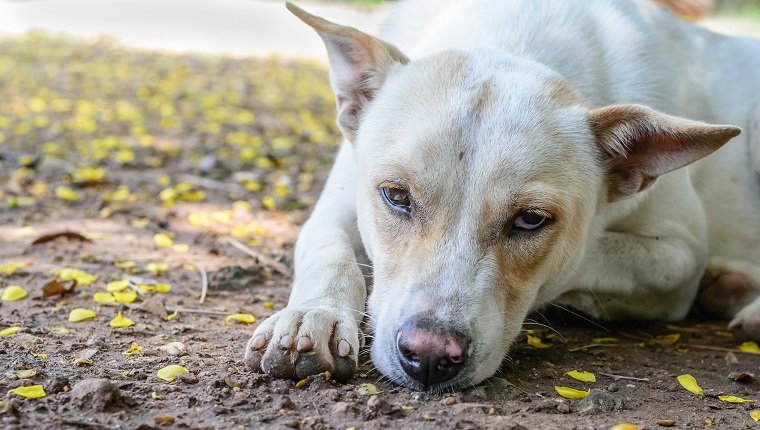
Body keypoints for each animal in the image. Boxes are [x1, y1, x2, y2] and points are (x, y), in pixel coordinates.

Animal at [243, 0, 760, 392]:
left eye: (531, 220)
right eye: (395, 196)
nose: (428, 356)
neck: (513, 39)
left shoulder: (680, 257)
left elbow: (584, 258)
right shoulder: (338, 202)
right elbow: (329, 252)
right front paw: (312, 317)